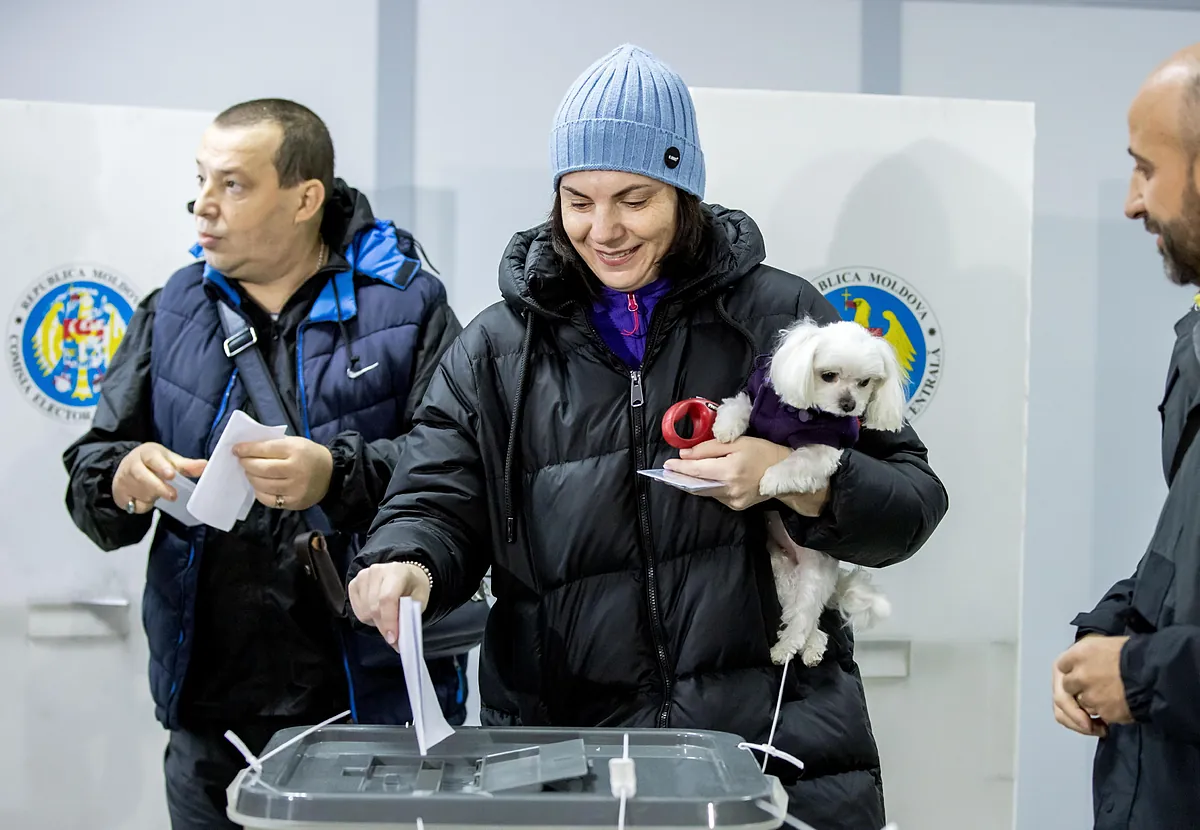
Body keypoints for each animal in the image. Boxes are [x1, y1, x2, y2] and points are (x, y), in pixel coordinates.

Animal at [710, 316, 907, 666]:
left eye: (865, 382)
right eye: (828, 375)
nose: (848, 405)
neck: (802, 413)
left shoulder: (824, 450)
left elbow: (798, 462)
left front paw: (771, 479)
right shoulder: (756, 398)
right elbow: (739, 405)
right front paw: (725, 428)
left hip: (814, 576)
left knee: (804, 619)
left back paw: (787, 650)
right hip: (782, 573)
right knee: (808, 619)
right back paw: (812, 646)